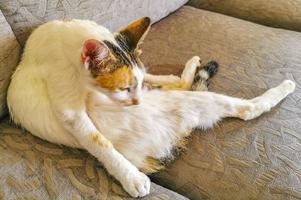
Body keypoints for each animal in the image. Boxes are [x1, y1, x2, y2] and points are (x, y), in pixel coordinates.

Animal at [7, 16, 296, 197]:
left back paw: (191, 65)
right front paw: (130, 178)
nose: (137, 102)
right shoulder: (69, 109)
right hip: (194, 103)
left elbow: (153, 76)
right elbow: (98, 141)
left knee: (180, 83)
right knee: (246, 109)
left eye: (130, 86)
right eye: (123, 89)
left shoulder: (142, 78)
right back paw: (285, 87)